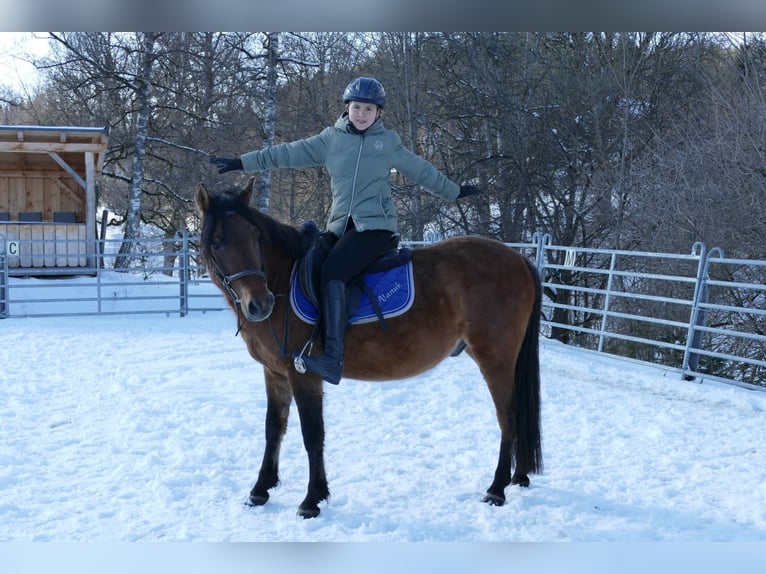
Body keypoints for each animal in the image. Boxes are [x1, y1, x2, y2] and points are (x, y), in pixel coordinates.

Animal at [198, 180, 544, 520]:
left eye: (255, 237)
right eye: (216, 243)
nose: (259, 304)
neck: (285, 279)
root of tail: (519, 259)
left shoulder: (304, 375)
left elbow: (312, 435)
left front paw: (312, 499)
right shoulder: (274, 373)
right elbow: (274, 429)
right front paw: (260, 489)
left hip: (495, 358)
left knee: (508, 417)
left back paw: (496, 489)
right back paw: (518, 476)